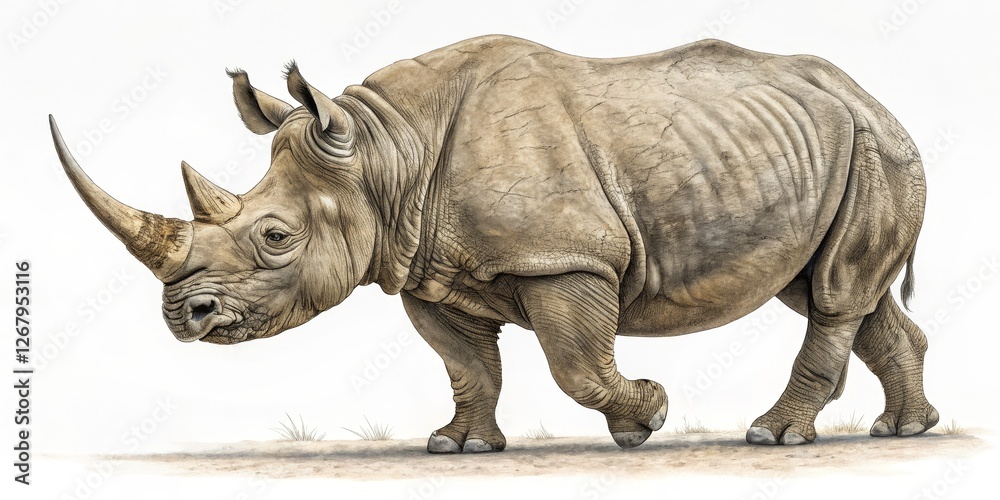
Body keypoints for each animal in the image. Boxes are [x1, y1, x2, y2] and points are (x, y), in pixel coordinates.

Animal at [50, 35, 938, 452]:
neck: (385, 155)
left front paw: (645, 415)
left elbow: (577, 366)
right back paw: (905, 431)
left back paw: (773, 436)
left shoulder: (566, 256)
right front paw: (458, 445)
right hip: (834, 148)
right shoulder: (420, 269)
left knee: (834, 294)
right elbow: (467, 364)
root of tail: (871, 96)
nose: (184, 317)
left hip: (874, 147)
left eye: (275, 236)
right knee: (830, 289)